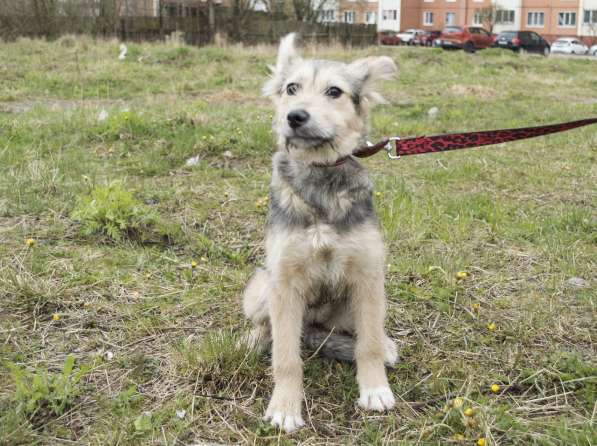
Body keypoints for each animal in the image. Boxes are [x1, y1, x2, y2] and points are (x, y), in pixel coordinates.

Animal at [240, 34, 398, 432]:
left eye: (334, 91)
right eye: (291, 88)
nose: (295, 117)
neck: (320, 177)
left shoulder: (367, 277)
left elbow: (368, 344)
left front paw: (375, 389)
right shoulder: (284, 284)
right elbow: (285, 357)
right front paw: (285, 406)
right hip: (262, 286)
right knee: (265, 327)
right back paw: (252, 339)